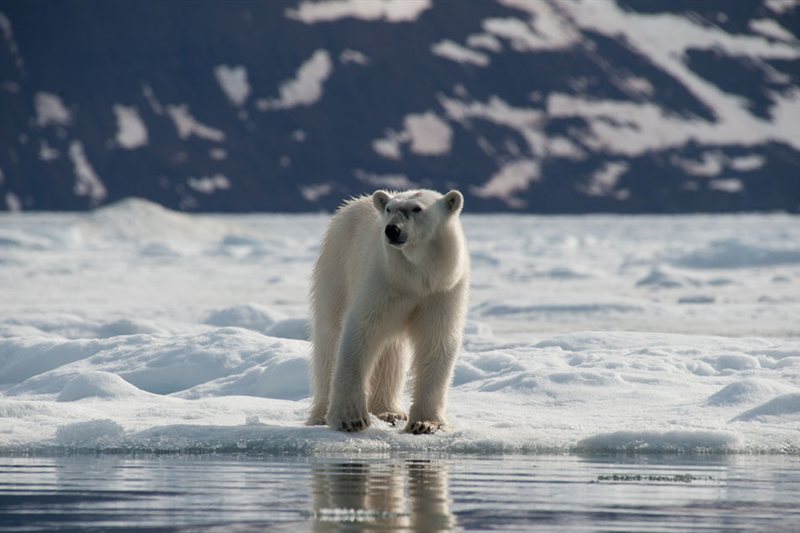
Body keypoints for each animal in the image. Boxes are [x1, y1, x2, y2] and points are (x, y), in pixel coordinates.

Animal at [306, 189, 470, 434]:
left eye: (417, 209)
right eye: (389, 209)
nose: (392, 229)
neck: (415, 279)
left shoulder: (442, 290)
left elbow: (436, 341)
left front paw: (425, 423)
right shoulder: (383, 282)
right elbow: (361, 332)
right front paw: (351, 419)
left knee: (392, 352)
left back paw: (389, 411)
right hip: (336, 265)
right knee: (329, 336)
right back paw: (320, 415)